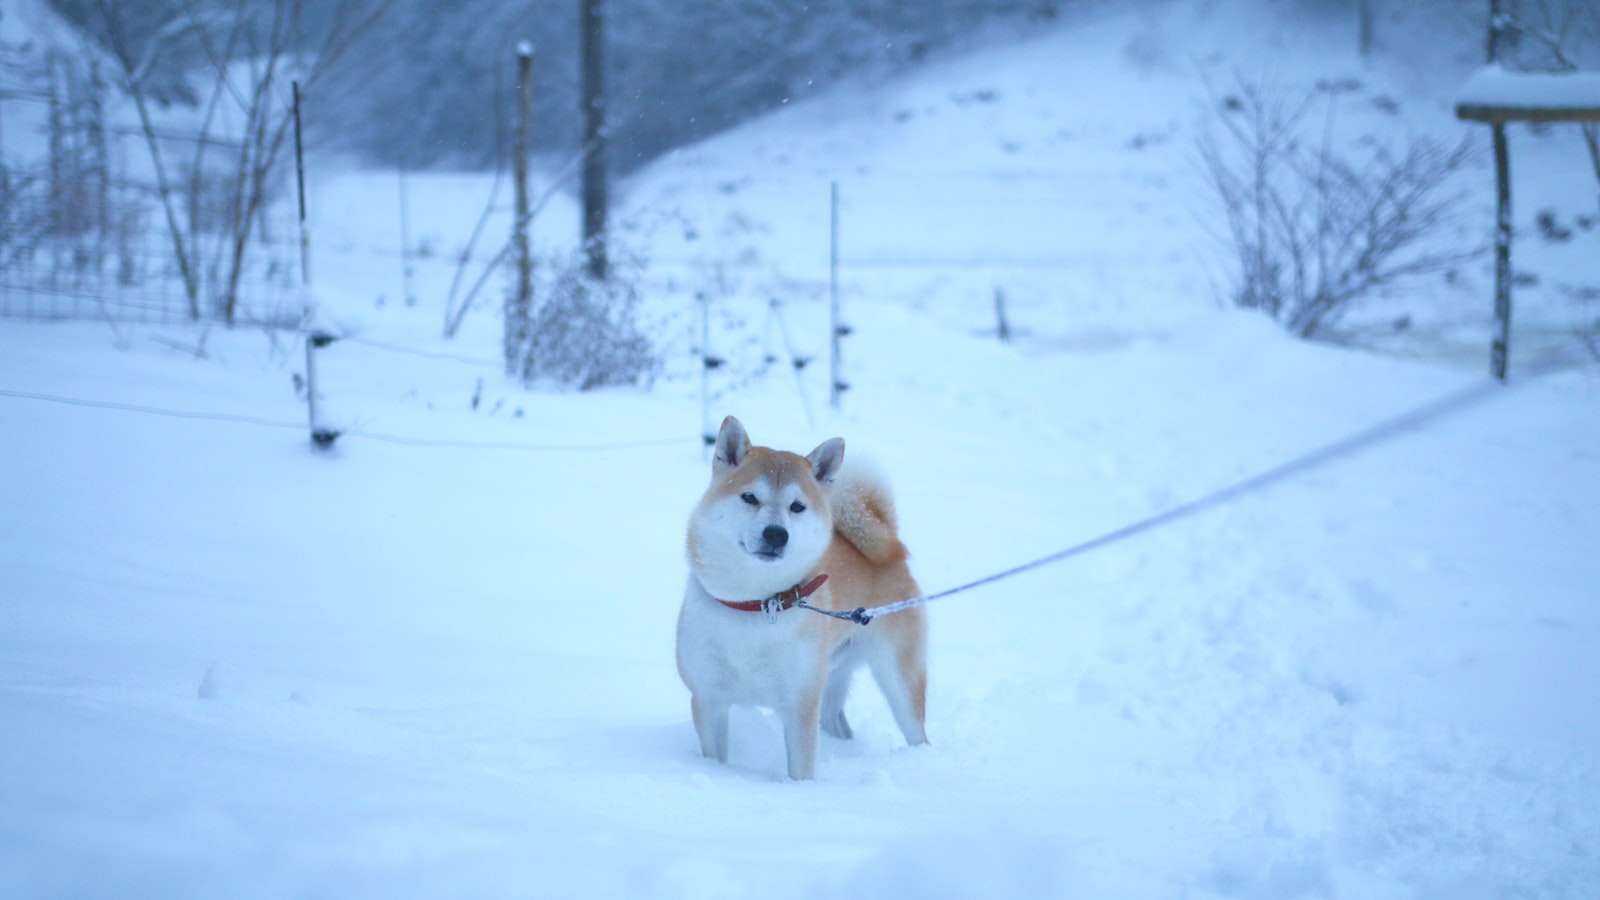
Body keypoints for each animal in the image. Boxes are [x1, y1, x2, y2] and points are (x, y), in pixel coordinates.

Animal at [672, 416, 928, 775]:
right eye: (749, 497)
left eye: (797, 507)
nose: (776, 534)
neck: (757, 603)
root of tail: (888, 548)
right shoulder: (708, 700)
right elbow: (715, 756)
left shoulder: (799, 705)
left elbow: (800, 772)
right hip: (833, 676)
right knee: (837, 723)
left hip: (898, 677)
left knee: (917, 730)